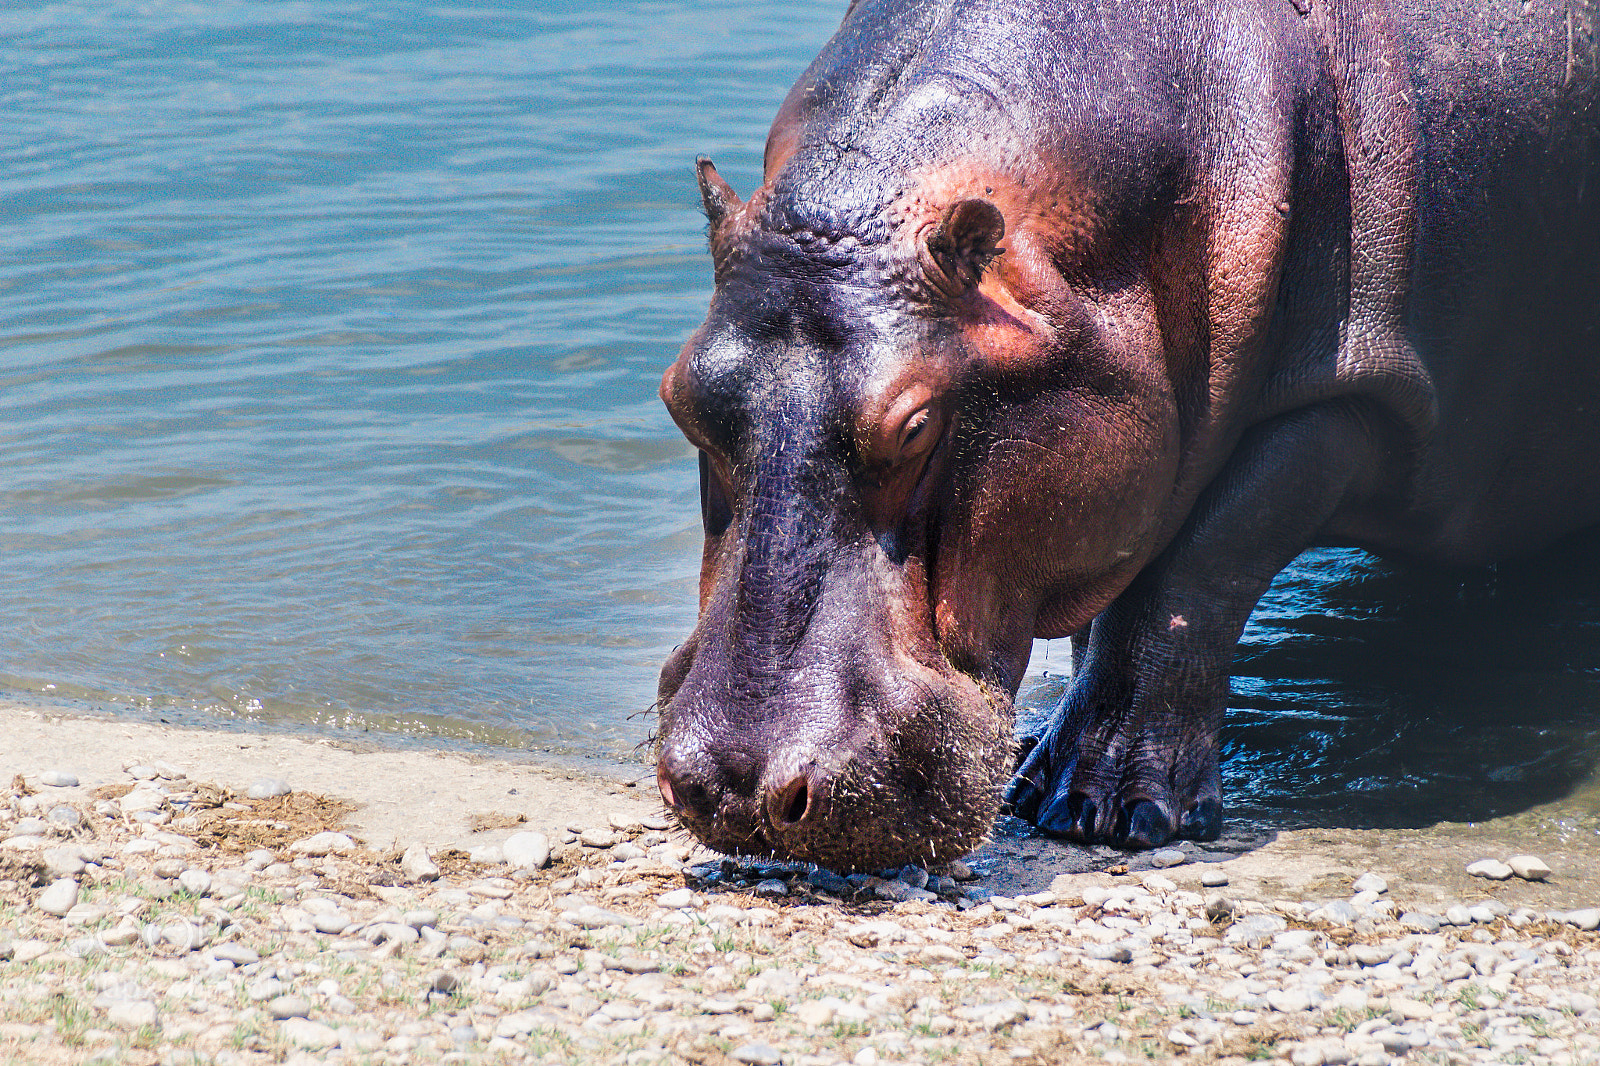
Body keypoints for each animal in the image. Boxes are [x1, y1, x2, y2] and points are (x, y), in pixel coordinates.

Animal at [653, 0, 1600, 869]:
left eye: (917, 424)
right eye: (676, 395)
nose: (737, 788)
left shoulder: (1346, 399)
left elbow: (1195, 569)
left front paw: (1109, 810)